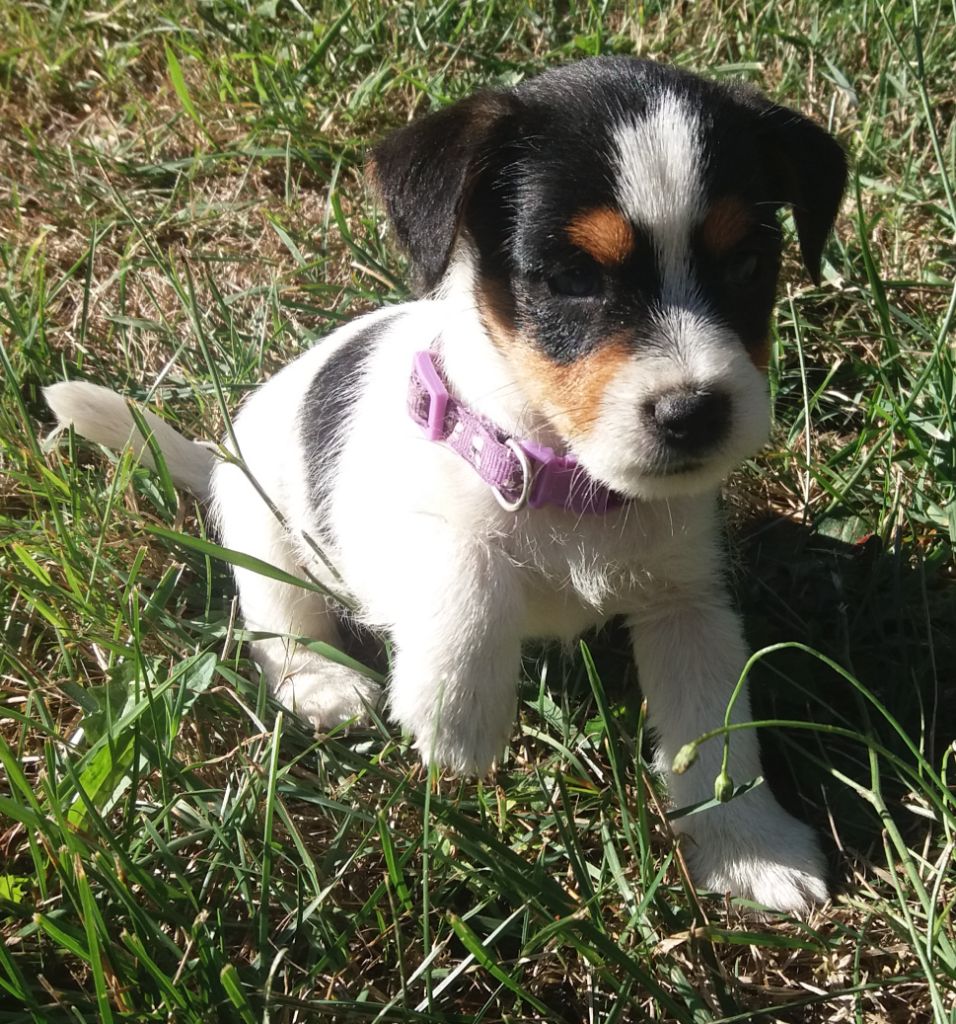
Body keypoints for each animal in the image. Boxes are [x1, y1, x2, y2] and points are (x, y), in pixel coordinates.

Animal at [48, 59, 847, 917]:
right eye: (573, 277)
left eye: (747, 264)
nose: (694, 411)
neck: (565, 480)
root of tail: (218, 457)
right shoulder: (403, 529)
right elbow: (466, 565)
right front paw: (457, 709)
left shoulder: (686, 604)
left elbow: (718, 729)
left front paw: (751, 846)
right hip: (265, 536)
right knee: (277, 620)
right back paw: (322, 683)